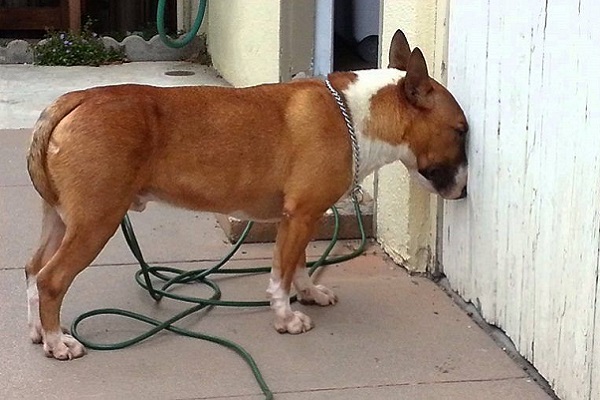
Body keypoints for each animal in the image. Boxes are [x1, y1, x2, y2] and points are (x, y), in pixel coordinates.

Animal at [25, 30, 468, 360]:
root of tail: (75, 99)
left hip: (60, 218)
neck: (357, 115)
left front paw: (308, 293)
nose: (464, 191)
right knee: (51, 279)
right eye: (461, 130)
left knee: (32, 270)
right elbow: (280, 275)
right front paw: (286, 319)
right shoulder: (301, 215)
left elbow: (299, 264)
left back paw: (37, 331)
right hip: (97, 221)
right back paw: (57, 342)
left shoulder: (301, 218)